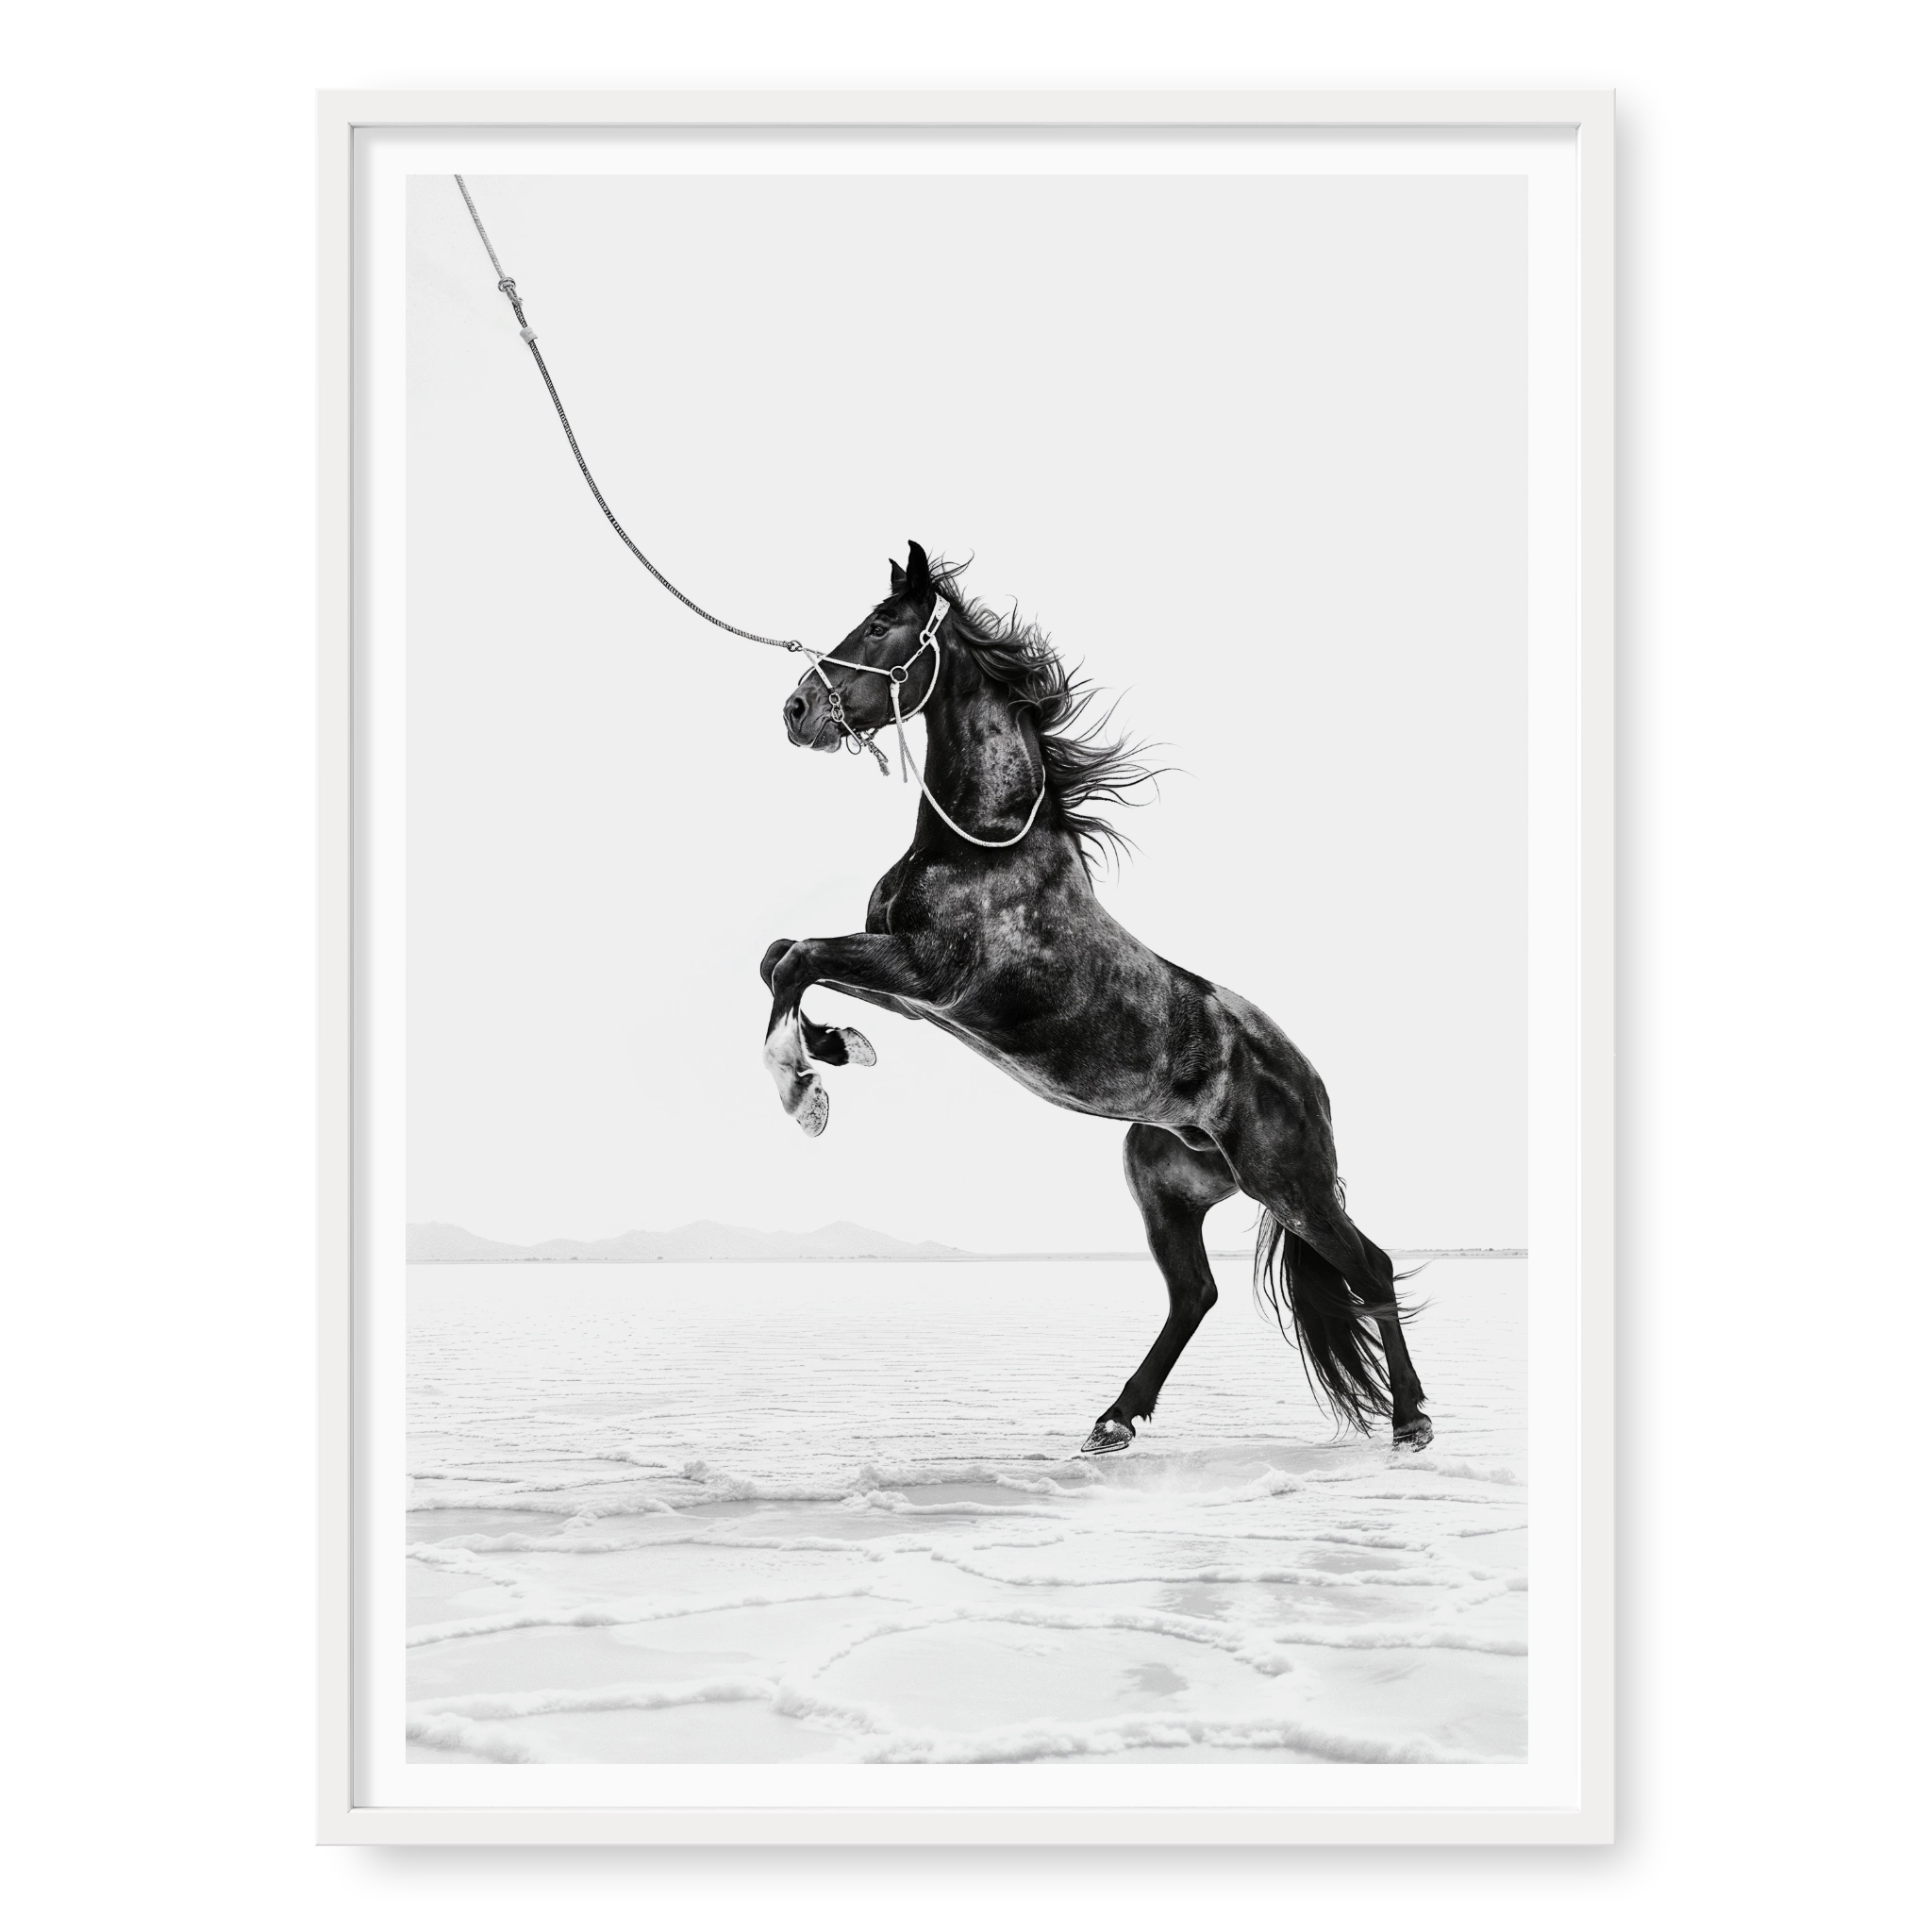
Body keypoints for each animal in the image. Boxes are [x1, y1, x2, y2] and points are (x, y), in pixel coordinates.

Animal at [761, 543, 1432, 1456]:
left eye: (879, 623)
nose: (797, 711)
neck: (984, 845)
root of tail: (1310, 1080)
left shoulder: (926, 975)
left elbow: (796, 960)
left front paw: (804, 1089)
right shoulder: (907, 989)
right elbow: (783, 959)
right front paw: (835, 1049)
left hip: (1289, 1182)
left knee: (1370, 1265)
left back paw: (1413, 1420)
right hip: (1168, 1188)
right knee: (1197, 1294)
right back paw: (1113, 1421)